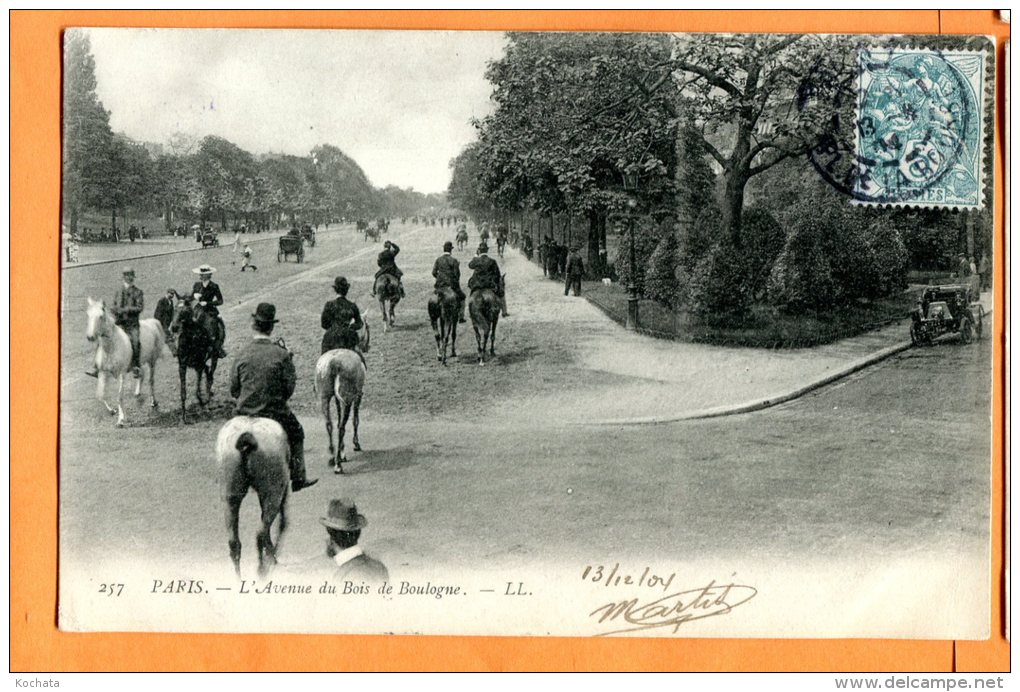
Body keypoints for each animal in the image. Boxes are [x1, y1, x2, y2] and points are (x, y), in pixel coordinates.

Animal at [85, 295, 167, 426]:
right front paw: (112, 411)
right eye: (88, 315)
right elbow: (101, 395)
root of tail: (153, 322)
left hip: (152, 361)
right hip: (138, 364)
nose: (90, 337)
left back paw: (153, 402)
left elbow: (119, 396)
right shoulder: (103, 373)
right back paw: (138, 394)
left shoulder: (122, 374)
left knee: (151, 381)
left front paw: (121, 419)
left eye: (101, 316)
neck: (111, 347)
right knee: (142, 374)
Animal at [216, 418, 289, 579]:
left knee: (235, 543)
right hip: (273, 493)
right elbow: (283, 522)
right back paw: (263, 567)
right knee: (261, 533)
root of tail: (247, 438)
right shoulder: (281, 491)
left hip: (230, 497)